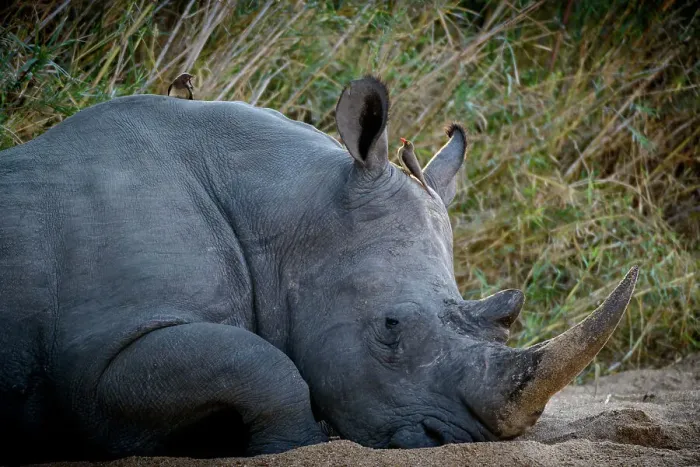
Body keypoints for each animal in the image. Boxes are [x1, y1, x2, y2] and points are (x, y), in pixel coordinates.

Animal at [0, 76, 638, 463]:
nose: (453, 442)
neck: (282, 213)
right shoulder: (96, 364)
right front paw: (292, 443)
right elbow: (263, 366)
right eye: (390, 326)